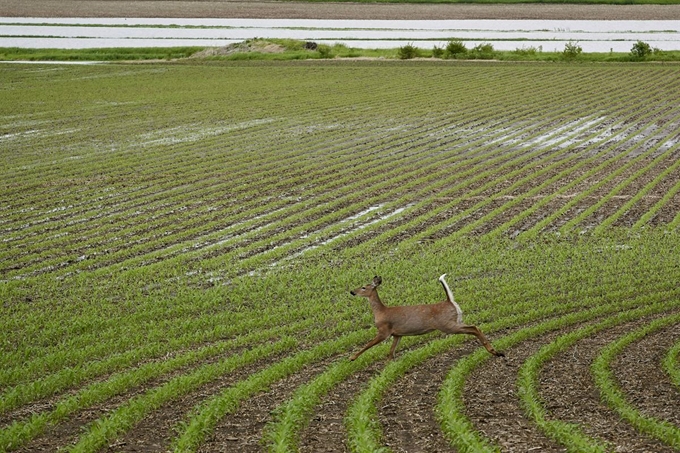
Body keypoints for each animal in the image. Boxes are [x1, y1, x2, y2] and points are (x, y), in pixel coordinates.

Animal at [348, 272, 502, 360]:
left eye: (363, 287)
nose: (352, 292)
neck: (381, 311)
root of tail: (450, 301)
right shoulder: (397, 334)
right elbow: (391, 353)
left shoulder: (384, 331)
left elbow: (368, 345)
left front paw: (352, 357)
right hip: (455, 321)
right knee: (475, 327)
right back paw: (497, 352)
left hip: (447, 325)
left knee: (474, 328)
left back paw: (494, 351)